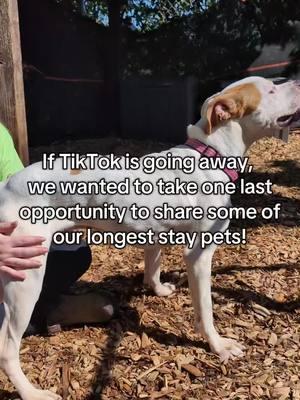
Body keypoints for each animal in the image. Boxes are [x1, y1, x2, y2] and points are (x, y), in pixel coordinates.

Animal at [0, 76, 300, 398]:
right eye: (271, 89)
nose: (296, 80)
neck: (209, 156)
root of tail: (6, 186)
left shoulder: (155, 234)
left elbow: (152, 267)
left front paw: (158, 289)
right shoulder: (199, 255)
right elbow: (206, 309)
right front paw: (218, 346)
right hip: (25, 277)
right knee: (7, 348)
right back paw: (31, 392)